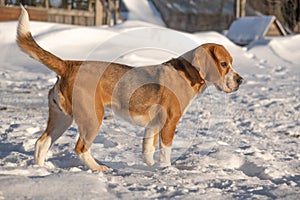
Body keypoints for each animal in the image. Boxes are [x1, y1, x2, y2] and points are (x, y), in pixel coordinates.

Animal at [16, 6, 243, 172]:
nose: (240, 80)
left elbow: (148, 150)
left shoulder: (153, 125)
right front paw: (166, 169)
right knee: (80, 148)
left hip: (61, 118)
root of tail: (69, 64)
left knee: (41, 143)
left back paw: (40, 170)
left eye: (232, 63)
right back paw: (99, 168)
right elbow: (165, 151)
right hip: (91, 117)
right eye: (224, 64)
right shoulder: (169, 123)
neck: (188, 72)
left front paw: (150, 167)